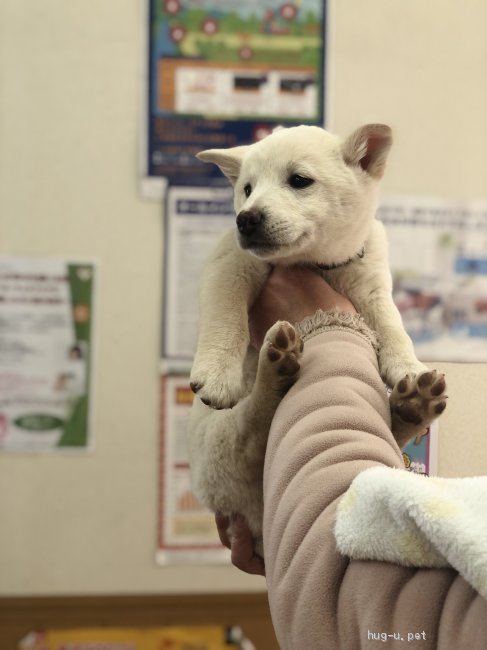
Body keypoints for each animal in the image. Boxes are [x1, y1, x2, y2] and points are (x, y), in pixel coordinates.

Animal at [189, 124, 448, 556]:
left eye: (299, 180)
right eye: (246, 189)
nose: (246, 219)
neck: (315, 262)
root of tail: (260, 521)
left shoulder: (369, 278)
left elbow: (390, 320)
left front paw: (406, 365)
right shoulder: (231, 264)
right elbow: (226, 317)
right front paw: (218, 373)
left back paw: (414, 406)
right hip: (218, 449)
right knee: (251, 431)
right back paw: (273, 372)